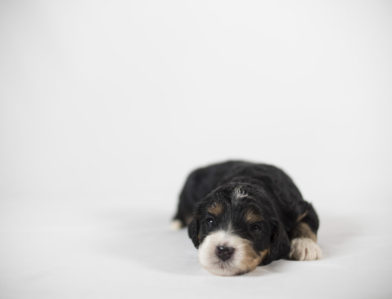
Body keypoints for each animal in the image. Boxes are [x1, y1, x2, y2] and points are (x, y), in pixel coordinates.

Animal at [172, 162, 322, 276]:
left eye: (255, 228)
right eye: (210, 221)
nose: (223, 250)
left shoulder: (299, 207)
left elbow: (307, 222)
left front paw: (305, 245)